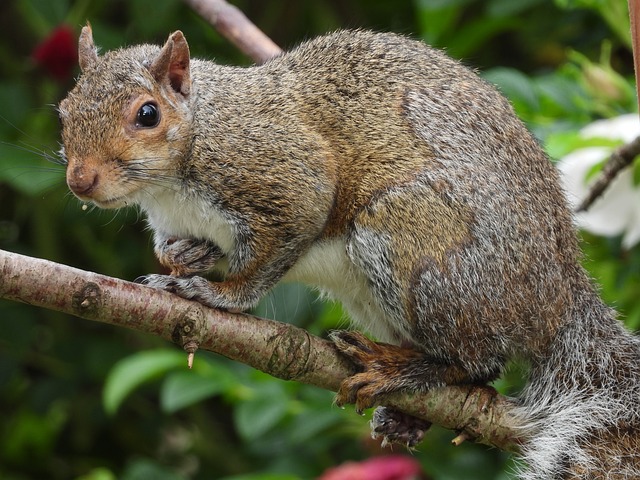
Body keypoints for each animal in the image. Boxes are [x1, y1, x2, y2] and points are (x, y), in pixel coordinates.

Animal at [60, 27, 640, 480]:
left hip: (414, 247)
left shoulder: (285, 178)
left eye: (148, 114)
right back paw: (407, 412)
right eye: (64, 112)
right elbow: (182, 246)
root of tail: (559, 293)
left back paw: (403, 370)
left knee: (479, 358)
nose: (80, 181)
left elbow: (272, 253)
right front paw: (183, 258)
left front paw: (218, 293)